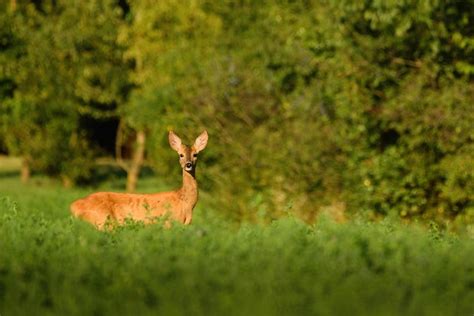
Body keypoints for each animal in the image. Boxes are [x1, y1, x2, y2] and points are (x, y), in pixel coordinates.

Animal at [70, 130, 207, 230]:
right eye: (180, 155)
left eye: (195, 154)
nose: (188, 164)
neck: (185, 203)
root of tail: (73, 206)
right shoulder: (169, 223)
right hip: (102, 222)